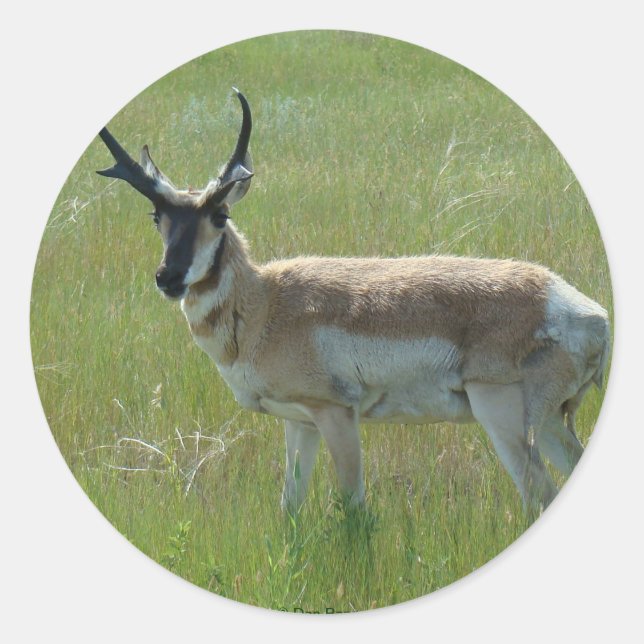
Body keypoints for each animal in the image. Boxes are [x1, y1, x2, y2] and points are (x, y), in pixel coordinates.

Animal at [97, 89, 610, 517]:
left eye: (220, 214)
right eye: (157, 215)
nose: (168, 278)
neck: (267, 303)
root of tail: (588, 313)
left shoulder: (337, 415)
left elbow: (353, 509)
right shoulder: (299, 423)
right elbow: (290, 508)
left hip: (501, 415)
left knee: (538, 494)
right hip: (550, 424)